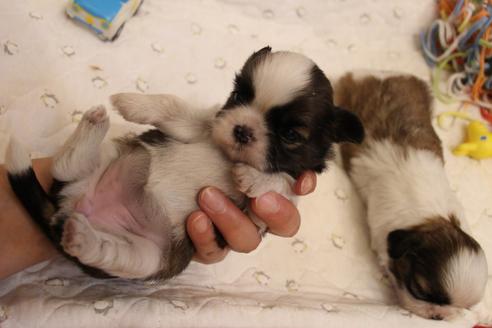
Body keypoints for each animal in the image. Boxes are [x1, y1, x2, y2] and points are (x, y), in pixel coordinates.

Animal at [4, 47, 366, 280]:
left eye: (290, 134)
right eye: (239, 97)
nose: (241, 129)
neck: (228, 154)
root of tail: (69, 211)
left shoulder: (271, 206)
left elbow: (282, 183)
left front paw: (254, 178)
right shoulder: (206, 124)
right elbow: (178, 109)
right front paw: (134, 103)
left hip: (150, 257)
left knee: (110, 252)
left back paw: (81, 236)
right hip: (116, 154)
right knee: (63, 167)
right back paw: (93, 125)